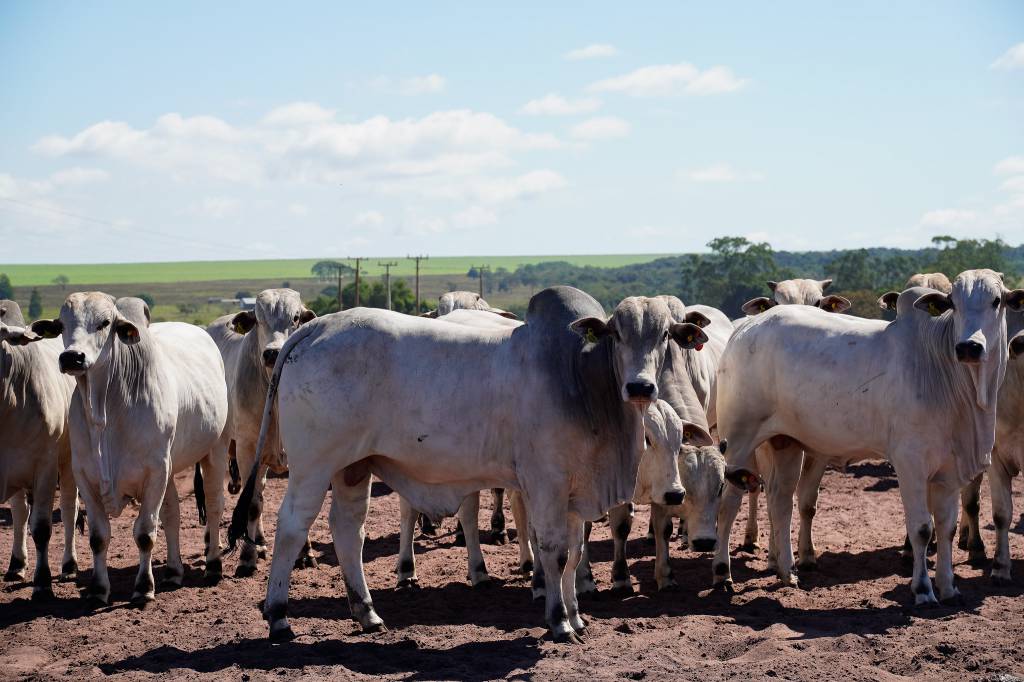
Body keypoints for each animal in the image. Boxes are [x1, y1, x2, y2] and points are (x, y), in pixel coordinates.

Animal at [0, 300, 78, 599]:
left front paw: (43, 583)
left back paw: (69, 565)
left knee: (69, 509)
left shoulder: (45, 465)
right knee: (20, 513)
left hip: (68, 463)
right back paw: (16, 564)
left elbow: (43, 527)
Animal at [33, 294, 229, 605]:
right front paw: (99, 589)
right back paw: (173, 571)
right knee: (172, 514)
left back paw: (213, 565)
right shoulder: (85, 477)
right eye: (62, 324)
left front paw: (144, 588)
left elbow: (145, 534)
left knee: (213, 505)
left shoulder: (155, 471)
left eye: (104, 323)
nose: (72, 357)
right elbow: (99, 537)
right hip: (170, 469)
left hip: (215, 449)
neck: (105, 411)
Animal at [206, 289, 316, 576]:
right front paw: (247, 557)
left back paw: (263, 542)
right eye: (259, 319)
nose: (273, 353)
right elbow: (252, 505)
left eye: (296, 317)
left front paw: (305, 552)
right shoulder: (246, 449)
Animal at [229, 286, 709, 642]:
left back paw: (367, 613)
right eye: (617, 335)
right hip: (313, 465)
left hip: (354, 466)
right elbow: (554, 553)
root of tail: (314, 328)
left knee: (348, 528)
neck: (581, 378)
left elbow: (574, 555)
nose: (641, 386)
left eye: (664, 336)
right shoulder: (547, 483)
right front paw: (558, 620)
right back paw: (278, 616)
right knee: (293, 525)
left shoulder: (576, 492)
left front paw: (577, 616)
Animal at [713, 270, 1023, 604]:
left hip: (786, 443)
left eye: (996, 301)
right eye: (953, 302)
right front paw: (923, 589)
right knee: (729, 503)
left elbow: (947, 528)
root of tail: (746, 328)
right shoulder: (910, 463)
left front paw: (949, 586)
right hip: (738, 441)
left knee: (780, 500)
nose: (968, 347)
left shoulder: (950, 469)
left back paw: (787, 572)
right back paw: (722, 573)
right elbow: (922, 529)